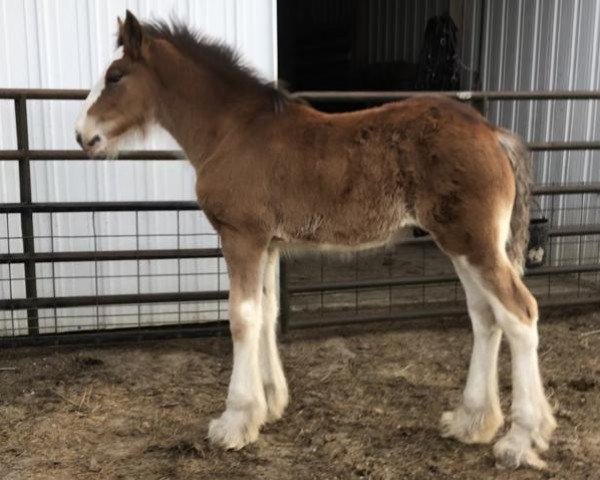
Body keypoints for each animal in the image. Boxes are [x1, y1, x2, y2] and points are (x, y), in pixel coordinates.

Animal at [76, 12, 556, 472]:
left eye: (115, 76)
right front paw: (269, 404)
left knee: (520, 313)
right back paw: (473, 421)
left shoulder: (241, 236)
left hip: (474, 244)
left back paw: (519, 440)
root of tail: (491, 133)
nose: (82, 136)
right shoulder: (268, 243)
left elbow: (242, 318)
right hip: (461, 244)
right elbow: (267, 312)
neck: (232, 131)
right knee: (485, 316)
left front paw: (235, 420)